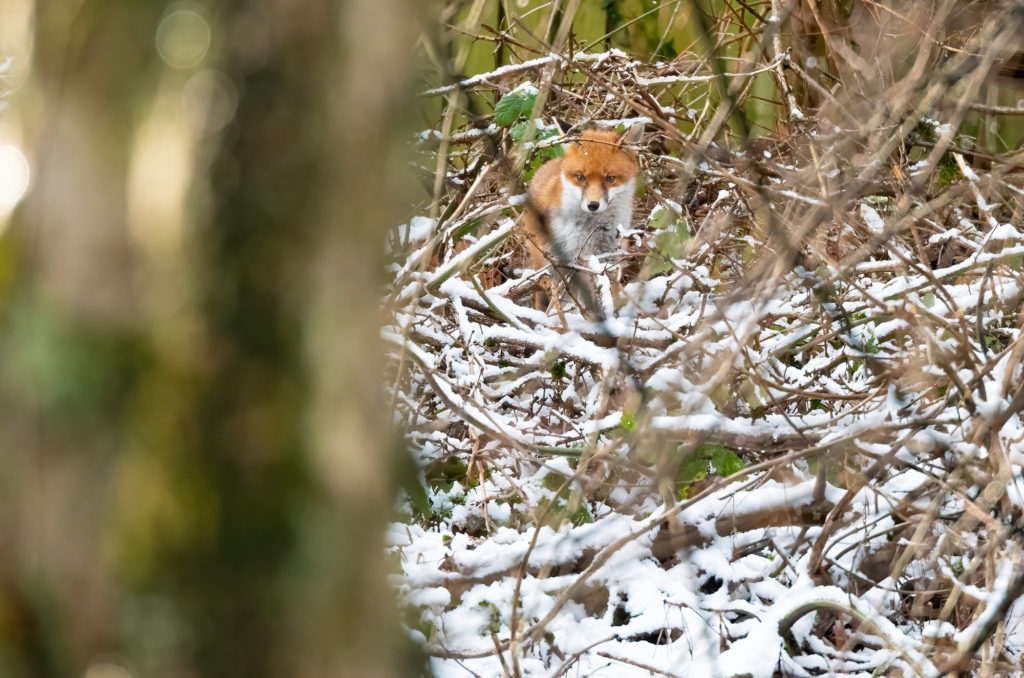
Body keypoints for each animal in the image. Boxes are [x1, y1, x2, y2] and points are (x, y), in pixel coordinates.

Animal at [524, 123, 643, 309]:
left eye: (610, 178)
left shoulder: (605, 257)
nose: (592, 205)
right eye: (580, 177)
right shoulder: (567, 260)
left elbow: (610, 290)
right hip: (547, 262)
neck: (590, 230)